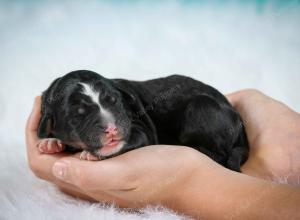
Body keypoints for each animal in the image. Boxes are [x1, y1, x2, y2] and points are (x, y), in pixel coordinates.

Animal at [37, 70, 248, 172]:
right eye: (78, 114)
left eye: (115, 101)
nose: (112, 128)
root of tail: (238, 117)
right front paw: (50, 142)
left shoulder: (141, 129)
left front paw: (91, 154)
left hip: (201, 106)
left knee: (219, 155)